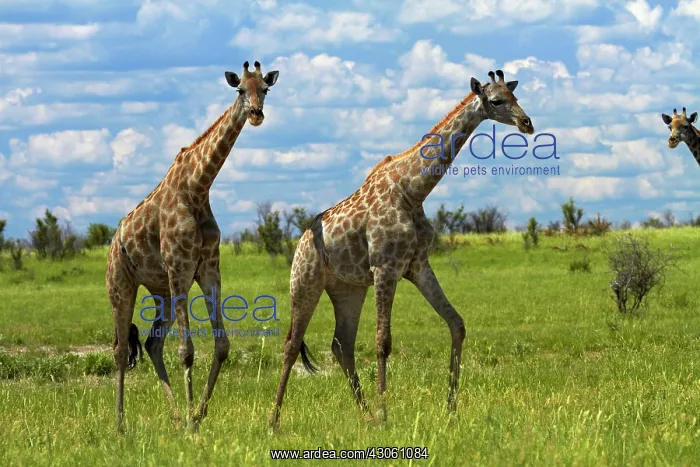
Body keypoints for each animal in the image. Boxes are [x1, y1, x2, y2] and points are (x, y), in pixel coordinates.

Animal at [107, 60, 279, 433]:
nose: (256, 114)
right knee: (119, 348)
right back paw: (121, 424)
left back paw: (173, 416)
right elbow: (186, 351)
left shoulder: (208, 268)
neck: (198, 187)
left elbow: (222, 345)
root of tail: (113, 242)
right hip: (121, 285)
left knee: (152, 343)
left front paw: (197, 414)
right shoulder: (180, 268)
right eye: (240, 90)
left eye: (265, 89)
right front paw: (192, 423)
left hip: (162, 292)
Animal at [269, 70, 535, 429]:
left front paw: (450, 408)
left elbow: (457, 323)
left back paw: (364, 414)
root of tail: (300, 243)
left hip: (348, 289)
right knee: (291, 344)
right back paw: (274, 421)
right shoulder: (386, 268)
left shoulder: (417, 265)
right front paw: (386, 414)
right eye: (496, 101)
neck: (413, 191)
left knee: (342, 345)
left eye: (515, 96)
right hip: (305, 282)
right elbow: (383, 342)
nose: (526, 123)